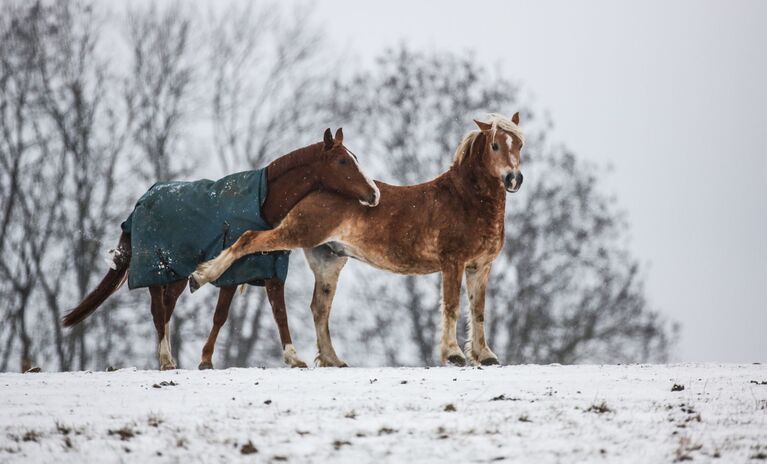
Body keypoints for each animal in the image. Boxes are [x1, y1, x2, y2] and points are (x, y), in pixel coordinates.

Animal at [63, 129, 380, 372]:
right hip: (156, 269)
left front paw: (290, 357)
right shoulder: (242, 270)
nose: (374, 194)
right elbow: (233, 314)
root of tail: (140, 203)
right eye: (343, 160)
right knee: (157, 311)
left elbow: (265, 312)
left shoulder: (262, 268)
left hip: (176, 275)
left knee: (167, 309)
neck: (262, 202)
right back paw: (166, 360)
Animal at [192, 113, 528, 366]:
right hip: (298, 234)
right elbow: (452, 306)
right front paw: (455, 354)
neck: (464, 200)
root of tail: (314, 189)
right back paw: (201, 275)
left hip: (328, 261)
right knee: (249, 239)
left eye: (520, 144)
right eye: (495, 145)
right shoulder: (453, 264)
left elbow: (478, 310)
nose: (514, 179)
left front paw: (485, 355)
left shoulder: (480, 267)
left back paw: (332, 360)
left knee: (319, 308)